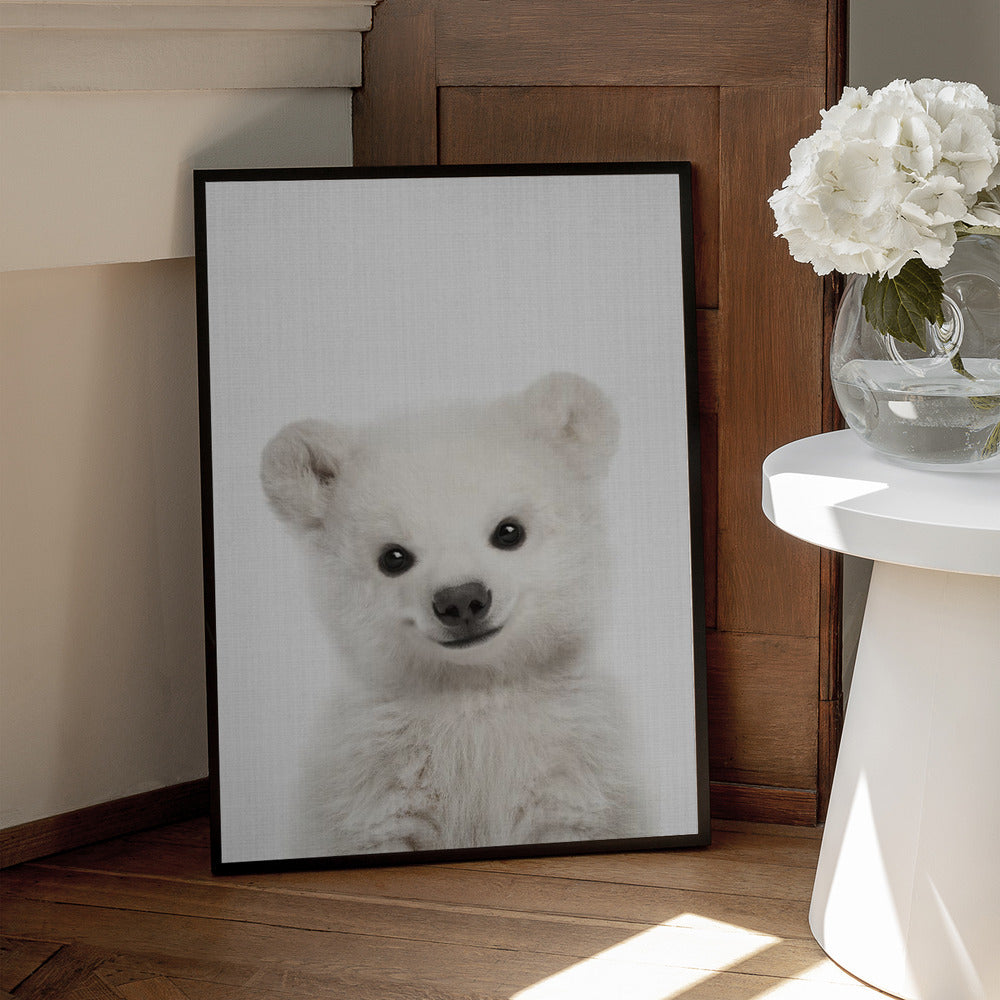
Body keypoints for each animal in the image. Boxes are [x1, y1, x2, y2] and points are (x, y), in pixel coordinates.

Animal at [260, 371, 638, 856]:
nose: (461, 599)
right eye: (393, 557)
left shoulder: (574, 771)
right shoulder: (374, 785)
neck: (473, 694)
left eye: (509, 530)